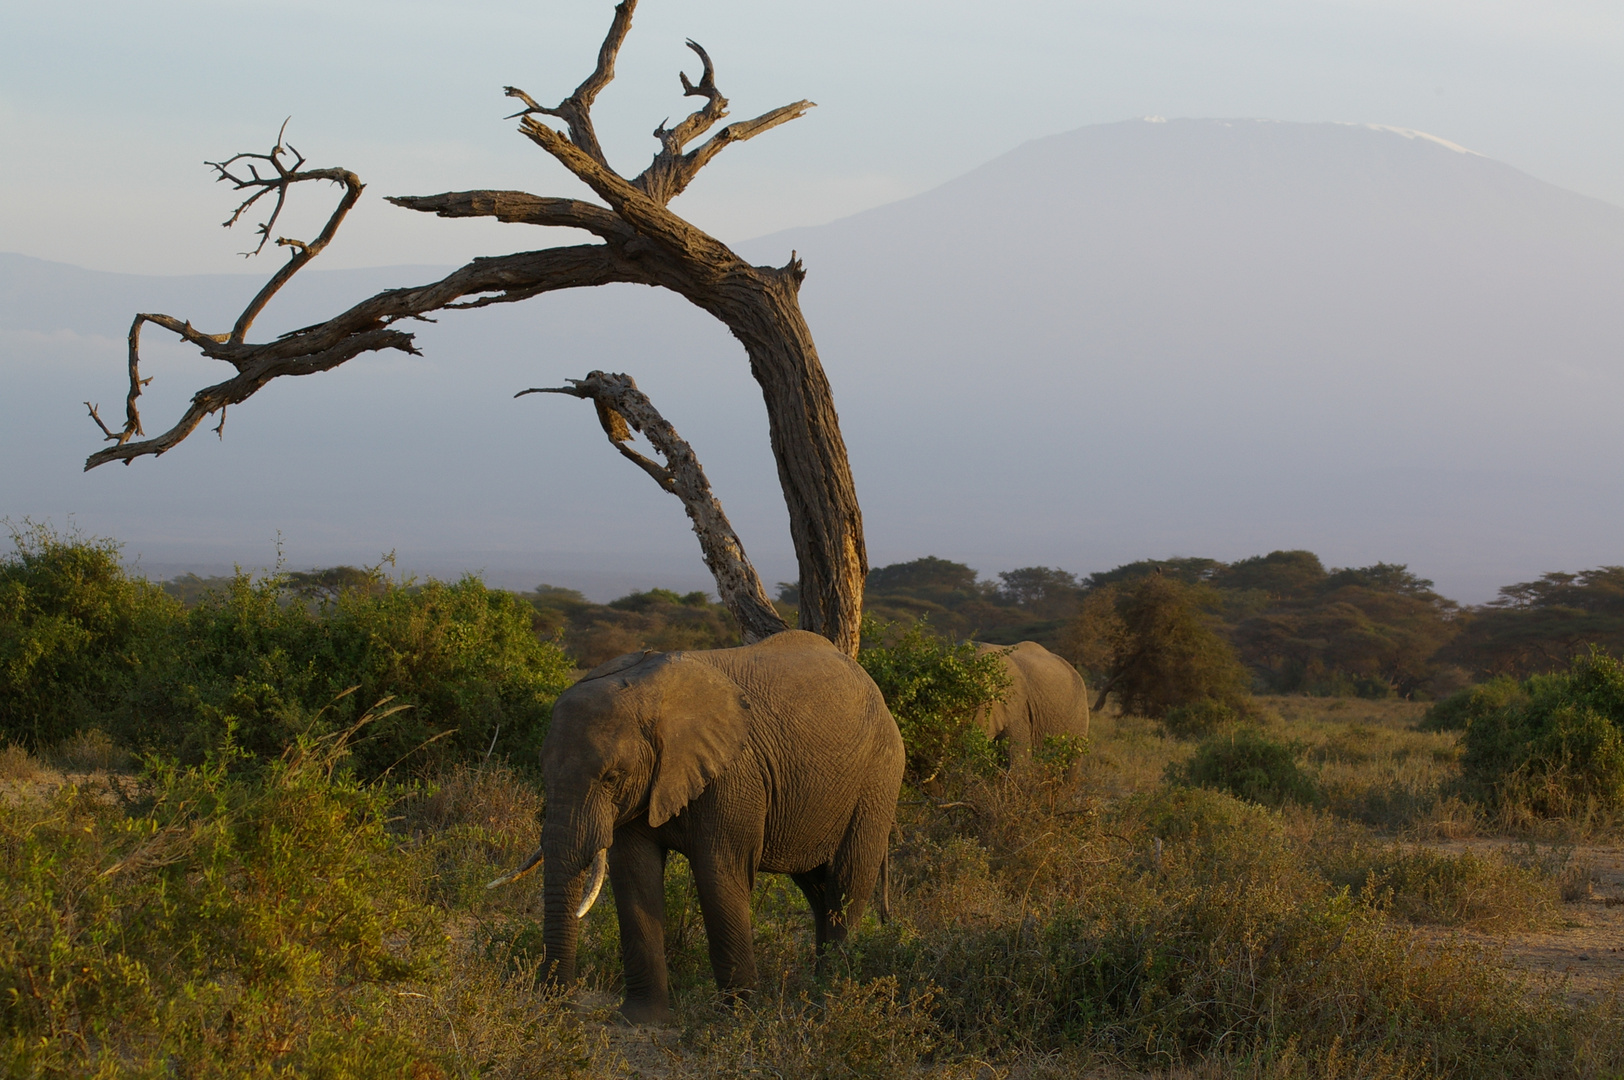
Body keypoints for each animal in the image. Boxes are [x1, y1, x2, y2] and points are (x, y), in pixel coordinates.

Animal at [487, 626, 909, 1026]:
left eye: (611, 777)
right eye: (543, 769)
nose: (561, 1008)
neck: (653, 699)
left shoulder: (734, 776)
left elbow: (718, 874)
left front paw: (736, 1019)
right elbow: (635, 875)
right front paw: (640, 1020)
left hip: (878, 778)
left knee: (846, 882)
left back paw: (831, 1003)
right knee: (817, 889)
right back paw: (821, 993)